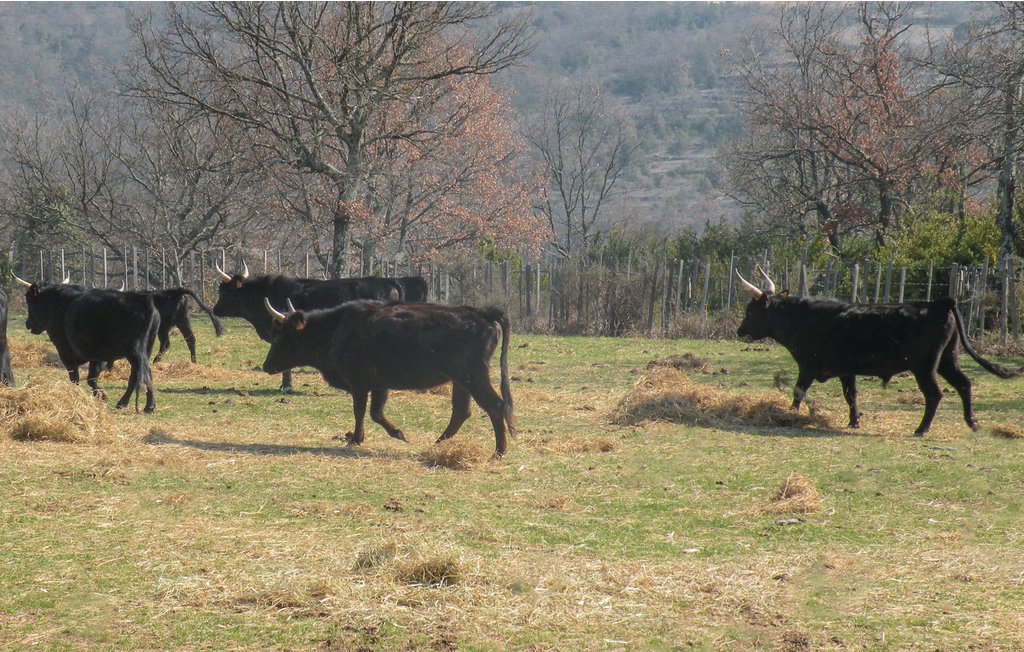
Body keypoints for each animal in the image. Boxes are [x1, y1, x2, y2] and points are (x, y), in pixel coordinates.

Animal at [14, 274, 159, 411]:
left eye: (29, 301)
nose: (28, 324)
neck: (58, 305)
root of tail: (143, 300)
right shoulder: (96, 356)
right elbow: (91, 378)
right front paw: (99, 395)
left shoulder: (66, 352)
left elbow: (76, 378)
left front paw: (92, 395)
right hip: (145, 350)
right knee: (146, 373)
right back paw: (149, 405)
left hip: (134, 351)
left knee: (137, 374)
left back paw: (123, 403)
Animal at [262, 296, 516, 454]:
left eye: (280, 336)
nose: (267, 366)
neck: (338, 328)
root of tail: (483, 313)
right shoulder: (379, 385)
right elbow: (375, 412)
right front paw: (398, 433)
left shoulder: (359, 383)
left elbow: (361, 411)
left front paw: (356, 439)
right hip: (461, 381)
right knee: (462, 411)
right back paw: (437, 444)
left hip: (473, 377)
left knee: (495, 406)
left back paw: (499, 452)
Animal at [737, 266, 1024, 433]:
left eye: (750, 311)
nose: (740, 331)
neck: (802, 318)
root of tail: (938, 303)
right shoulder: (846, 371)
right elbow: (851, 395)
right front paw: (854, 421)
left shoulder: (808, 367)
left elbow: (799, 392)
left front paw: (790, 414)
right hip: (948, 359)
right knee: (964, 384)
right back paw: (972, 422)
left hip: (925, 366)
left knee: (935, 394)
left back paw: (922, 429)